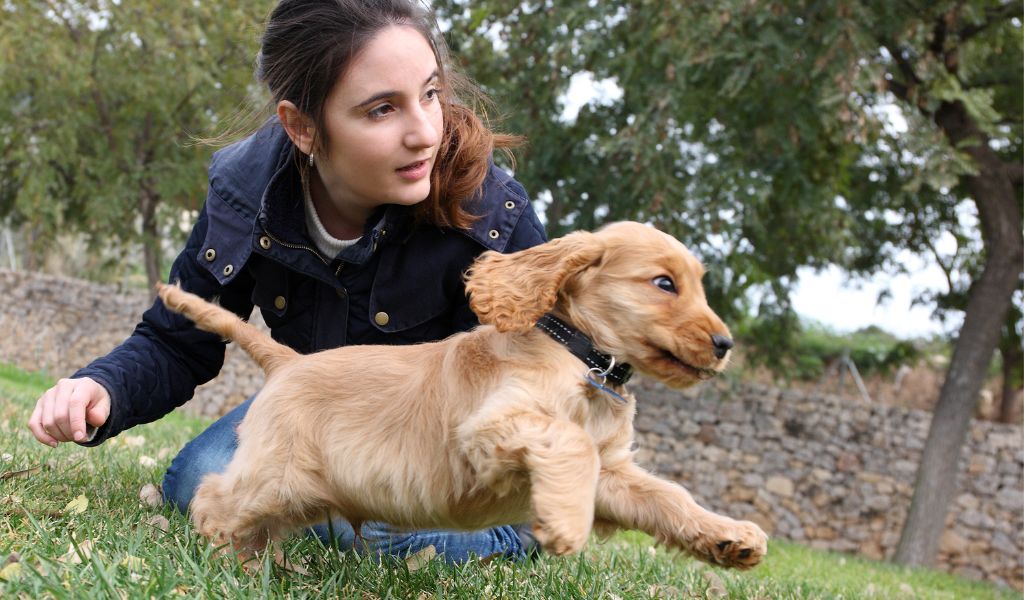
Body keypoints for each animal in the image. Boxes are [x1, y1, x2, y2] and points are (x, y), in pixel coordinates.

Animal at [155, 219, 770, 565]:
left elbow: (669, 497)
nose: (725, 344)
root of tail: (289, 364)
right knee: (213, 498)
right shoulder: (491, 427)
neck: (581, 361)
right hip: (276, 475)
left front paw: (729, 537)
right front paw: (567, 524)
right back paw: (223, 557)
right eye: (664, 284)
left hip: (301, 493)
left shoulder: (613, 474)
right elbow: (570, 441)